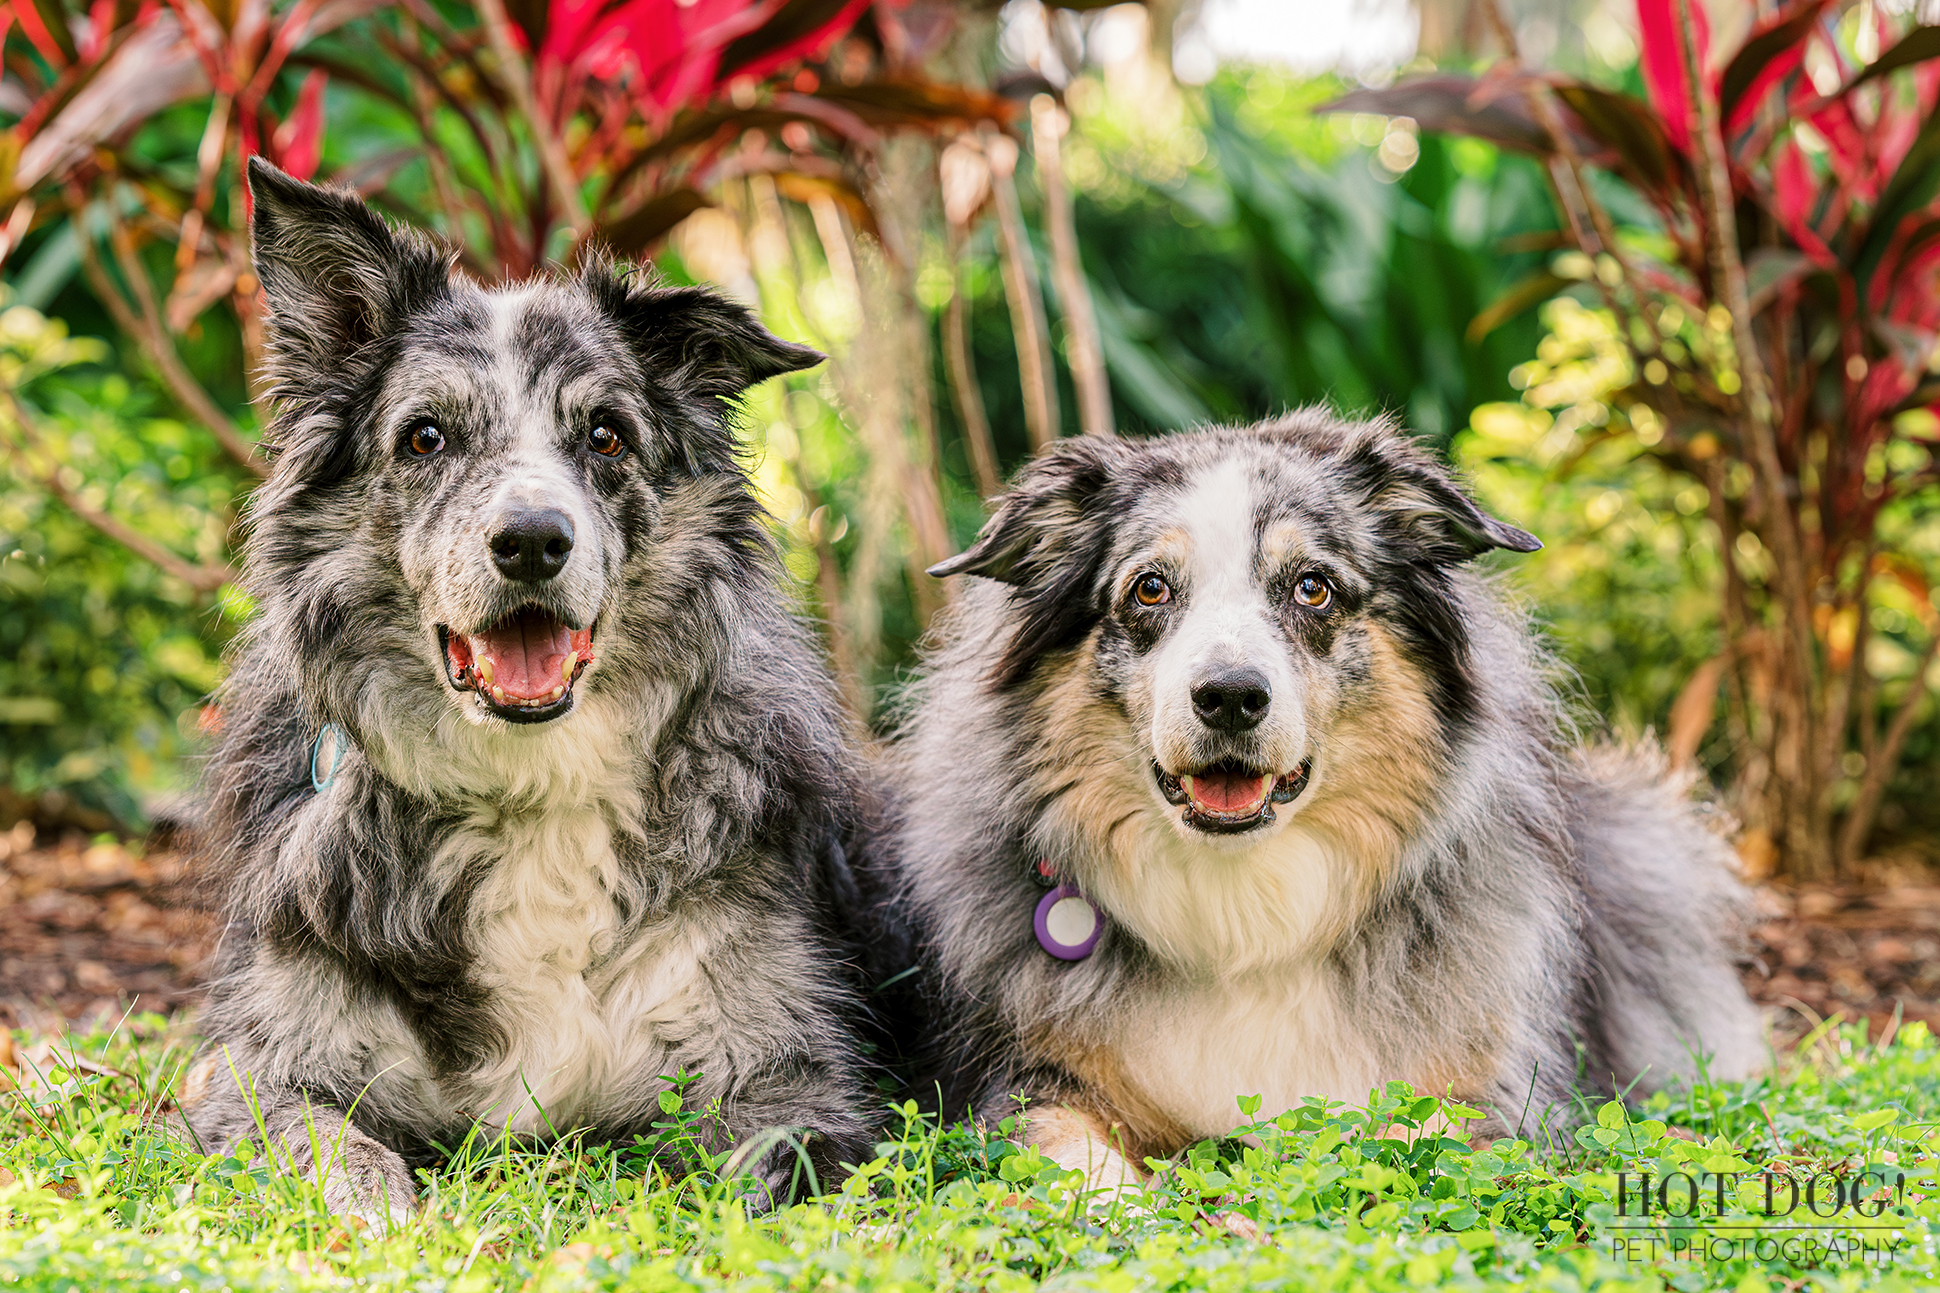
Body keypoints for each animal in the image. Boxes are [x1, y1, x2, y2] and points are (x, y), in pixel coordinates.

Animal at [185, 161, 876, 1219]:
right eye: (425, 437)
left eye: (606, 435)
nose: (533, 540)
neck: (528, 779)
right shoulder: (257, 1071)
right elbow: (331, 1152)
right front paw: (384, 1220)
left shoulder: (787, 1067)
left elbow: (787, 1172)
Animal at [900, 413, 1769, 1188]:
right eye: (1149, 588)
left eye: (1312, 587)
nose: (1229, 696)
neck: (1245, 904)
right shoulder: (1025, 1078)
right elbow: (1067, 1154)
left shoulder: (1496, 1086)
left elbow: (1424, 1139)